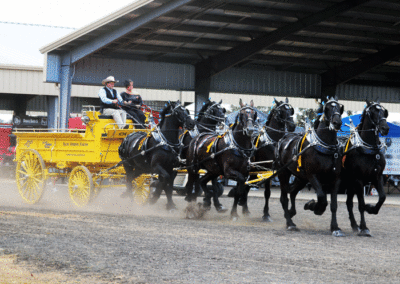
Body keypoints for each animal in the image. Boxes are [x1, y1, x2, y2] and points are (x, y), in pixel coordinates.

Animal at [276, 96, 344, 236]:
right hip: (283, 173)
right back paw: (290, 223)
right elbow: (322, 198)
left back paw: (291, 213)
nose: (337, 122)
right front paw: (314, 207)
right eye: (327, 108)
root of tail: (283, 138)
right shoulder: (313, 176)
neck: (324, 147)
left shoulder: (336, 179)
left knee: (293, 192)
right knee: (284, 198)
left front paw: (335, 227)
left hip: (301, 178)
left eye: (339, 107)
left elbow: (333, 205)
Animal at [340, 98, 388, 236]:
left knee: (349, 203)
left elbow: (382, 197)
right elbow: (361, 204)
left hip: (350, 184)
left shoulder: (377, 177)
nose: (385, 128)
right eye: (372, 112)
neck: (369, 150)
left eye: (384, 112)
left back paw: (354, 225)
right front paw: (364, 227)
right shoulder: (359, 181)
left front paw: (371, 208)